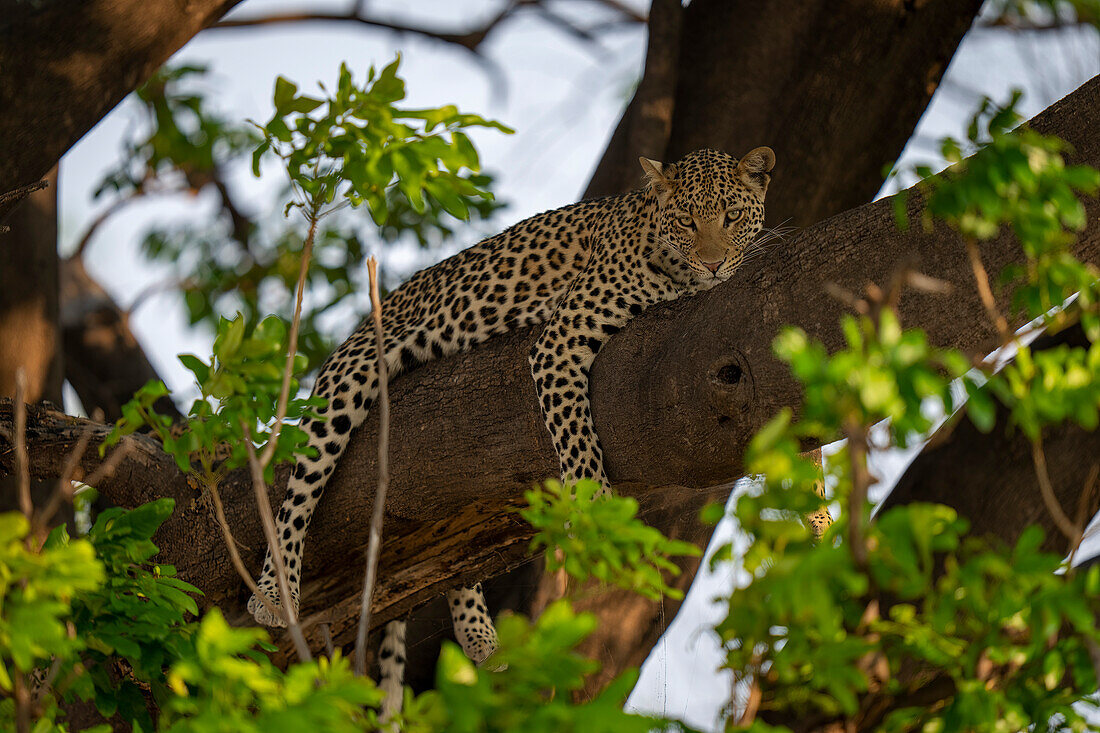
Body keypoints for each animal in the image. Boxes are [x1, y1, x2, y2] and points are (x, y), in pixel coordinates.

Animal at [247, 147, 818, 713]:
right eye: (686, 221)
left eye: (732, 217)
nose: (714, 262)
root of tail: (374, 312)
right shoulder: (560, 337)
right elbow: (576, 435)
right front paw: (594, 510)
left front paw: (818, 518)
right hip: (348, 379)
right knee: (299, 492)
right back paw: (275, 593)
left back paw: (478, 635)